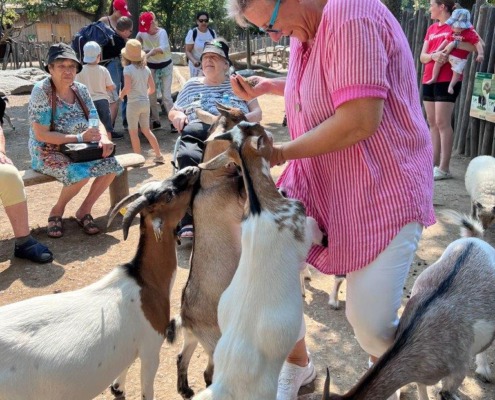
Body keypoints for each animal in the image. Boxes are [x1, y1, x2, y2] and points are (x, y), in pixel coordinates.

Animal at [0, 166, 202, 400]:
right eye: (168, 195)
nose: (192, 169)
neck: (144, 282)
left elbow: (124, 365)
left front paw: (118, 387)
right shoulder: (151, 347)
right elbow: (147, 390)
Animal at [194, 121, 326, 400]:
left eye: (244, 125)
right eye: (259, 131)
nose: (267, 126)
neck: (261, 206)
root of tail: (224, 384)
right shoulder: (302, 229)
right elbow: (313, 228)